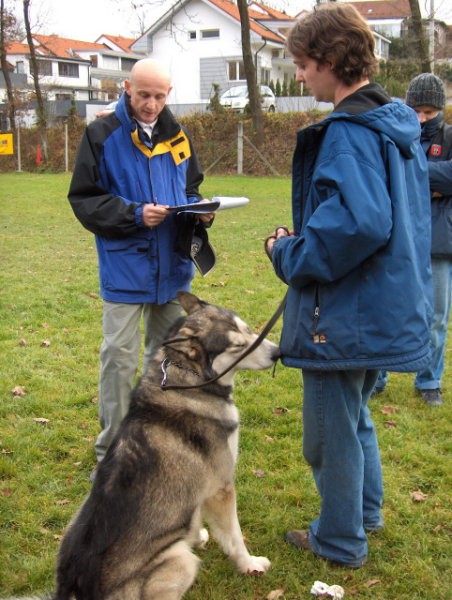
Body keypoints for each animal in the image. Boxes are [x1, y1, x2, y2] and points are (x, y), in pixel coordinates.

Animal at [53, 292, 278, 600]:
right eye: (238, 346)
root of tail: (77, 586)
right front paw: (249, 564)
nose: (277, 353)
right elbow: (234, 536)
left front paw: (196, 535)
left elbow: (195, 516)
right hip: (181, 561)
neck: (189, 380)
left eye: (249, 329)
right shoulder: (221, 487)